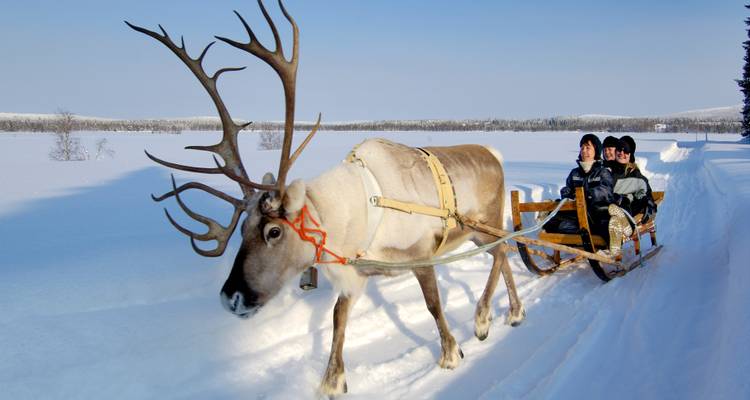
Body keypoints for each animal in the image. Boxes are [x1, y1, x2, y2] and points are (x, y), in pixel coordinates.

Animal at [126, 0, 525, 396]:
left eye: (274, 231)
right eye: (241, 229)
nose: (231, 298)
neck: (357, 215)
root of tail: (493, 153)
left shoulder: (420, 254)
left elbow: (433, 304)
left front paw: (450, 353)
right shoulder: (355, 274)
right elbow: (338, 317)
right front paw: (332, 380)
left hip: (484, 224)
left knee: (503, 249)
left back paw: (483, 319)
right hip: (476, 233)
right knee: (504, 252)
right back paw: (514, 312)